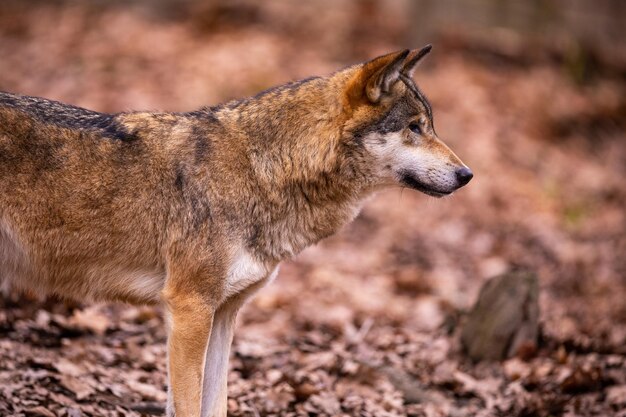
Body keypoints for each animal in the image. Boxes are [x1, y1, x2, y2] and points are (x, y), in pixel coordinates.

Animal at [0, 46, 468, 416]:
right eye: (414, 127)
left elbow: (216, 403)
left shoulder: (224, 314)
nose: (467, 175)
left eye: (430, 125)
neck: (261, 170)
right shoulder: (190, 308)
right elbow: (190, 406)